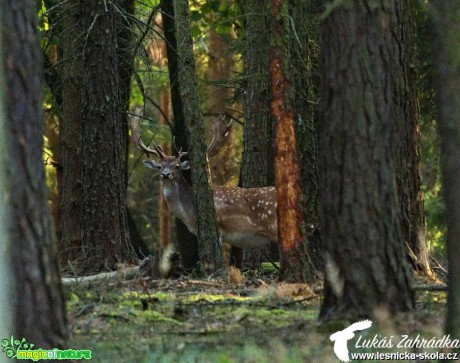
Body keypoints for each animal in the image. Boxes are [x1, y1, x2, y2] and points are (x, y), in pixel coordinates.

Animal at [131, 109, 278, 250]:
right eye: (160, 166)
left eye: (177, 166)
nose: (166, 174)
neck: (188, 214)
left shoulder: (219, 230)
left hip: (274, 227)